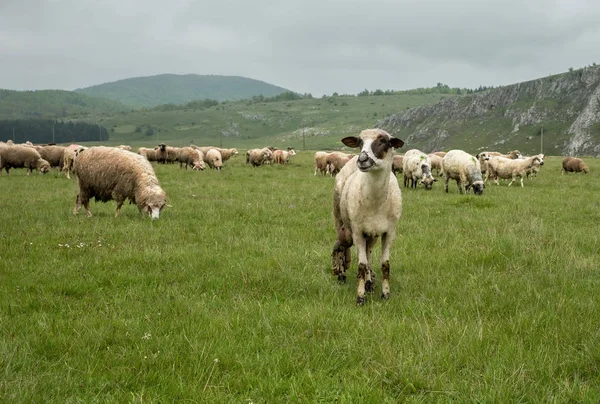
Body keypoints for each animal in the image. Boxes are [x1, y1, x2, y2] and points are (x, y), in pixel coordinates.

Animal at [330, 128, 406, 304]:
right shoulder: (358, 231)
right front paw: (360, 297)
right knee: (340, 245)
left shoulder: (389, 232)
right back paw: (341, 274)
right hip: (341, 223)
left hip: (371, 234)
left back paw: (369, 282)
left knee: (368, 252)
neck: (376, 202)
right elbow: (361, 265)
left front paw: (385, 294)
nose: (362, 159)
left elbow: (384, 264)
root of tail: (350, 161)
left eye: (384, 141)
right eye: (359, 142)